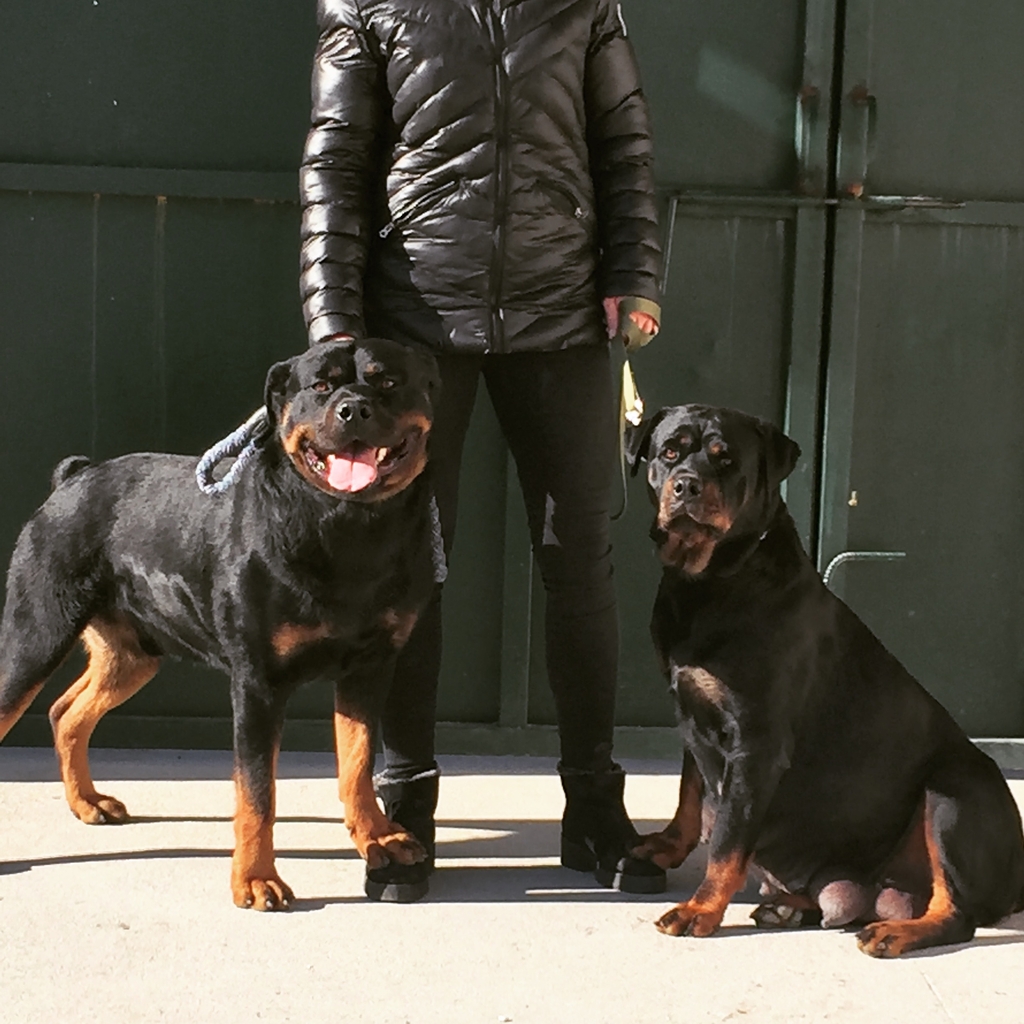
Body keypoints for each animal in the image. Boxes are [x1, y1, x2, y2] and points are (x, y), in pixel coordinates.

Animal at [0, 338, 441, 910]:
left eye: (387, 381)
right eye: (321, 386)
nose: (354, 409)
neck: (347, 529)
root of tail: (74, 477)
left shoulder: (369, 668)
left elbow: (359, 762)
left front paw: (377, 837)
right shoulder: (257, 683)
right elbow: (256, 791)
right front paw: (255, 879)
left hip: (133, 655)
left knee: (66, 712)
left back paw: (88, 802)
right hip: (34, 635)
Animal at [627, 403, 1024, 957]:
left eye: (725, 460)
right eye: (669, 452)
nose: (686, 485)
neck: (712, 581)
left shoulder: (757, 742)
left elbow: (727, 837)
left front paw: (700, 909)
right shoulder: (691, 711)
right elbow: (689, 792)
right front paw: (665, 845)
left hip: (955, 792)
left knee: (957, 913)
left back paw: (895, 932)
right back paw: (792, 907)